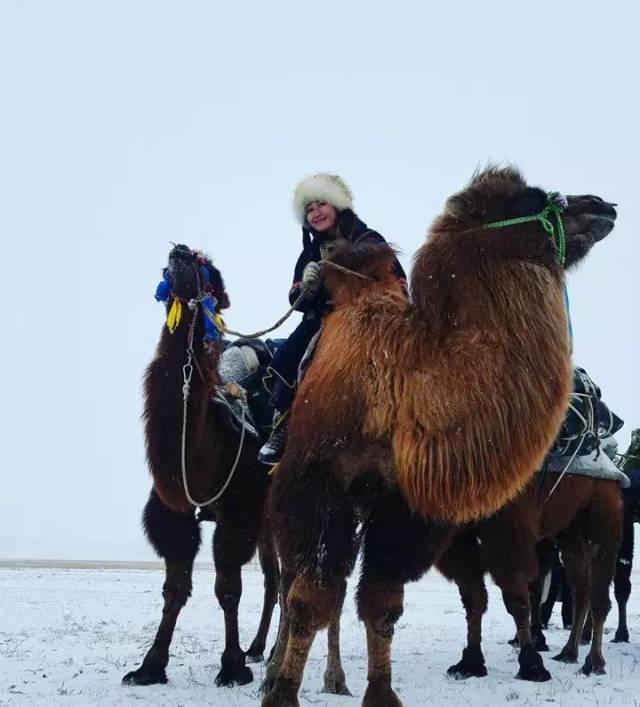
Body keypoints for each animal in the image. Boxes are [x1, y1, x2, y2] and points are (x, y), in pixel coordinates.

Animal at [122, 246, 278, 688]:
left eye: (206, 267)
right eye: (168, 265)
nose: (178, 252)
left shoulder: (240, 508)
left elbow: (227, 587)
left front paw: (232, 667)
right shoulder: (172, 509)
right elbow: (175, 587)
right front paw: (150, 665)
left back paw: (273, 653)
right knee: (276, 580)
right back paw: (260, 648)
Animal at [258, 167, 616, 707]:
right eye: (532, 198)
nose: (603, 205)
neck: (397, 382)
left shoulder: (402, 507)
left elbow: (382, 603)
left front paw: (381, 694)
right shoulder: (318, 483)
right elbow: (309, 597)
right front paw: (281, 693)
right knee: (294, 584)